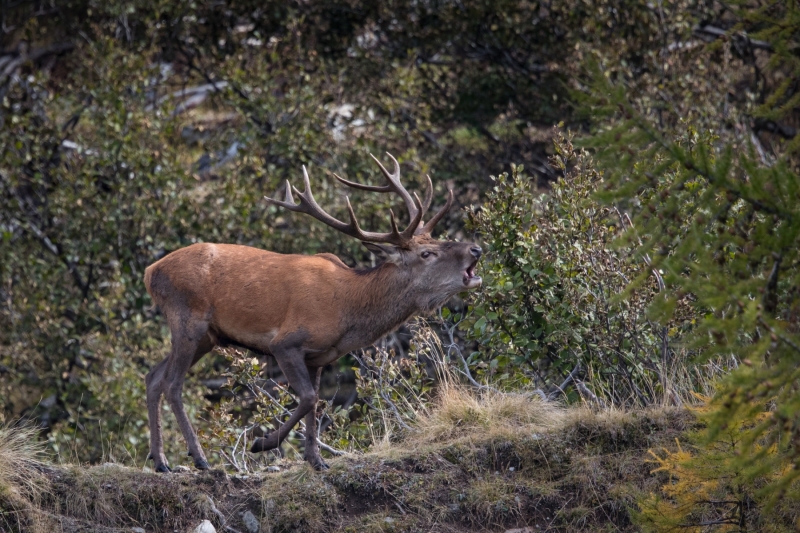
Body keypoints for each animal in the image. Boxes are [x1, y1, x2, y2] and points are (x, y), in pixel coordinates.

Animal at [143, 153, 482, 472]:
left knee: (153, 377)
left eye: (436, 240)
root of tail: (150, 272)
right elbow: (308, 398)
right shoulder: (286, 342)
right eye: (427, 253)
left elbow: (316, 405)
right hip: (188, 317)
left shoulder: (320, 357)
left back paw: (162, 461)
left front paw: (316, 460)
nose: (476, 248)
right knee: (172, 384)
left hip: (207, 336)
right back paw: (199, 458)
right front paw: (263, 443)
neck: (347, 309)